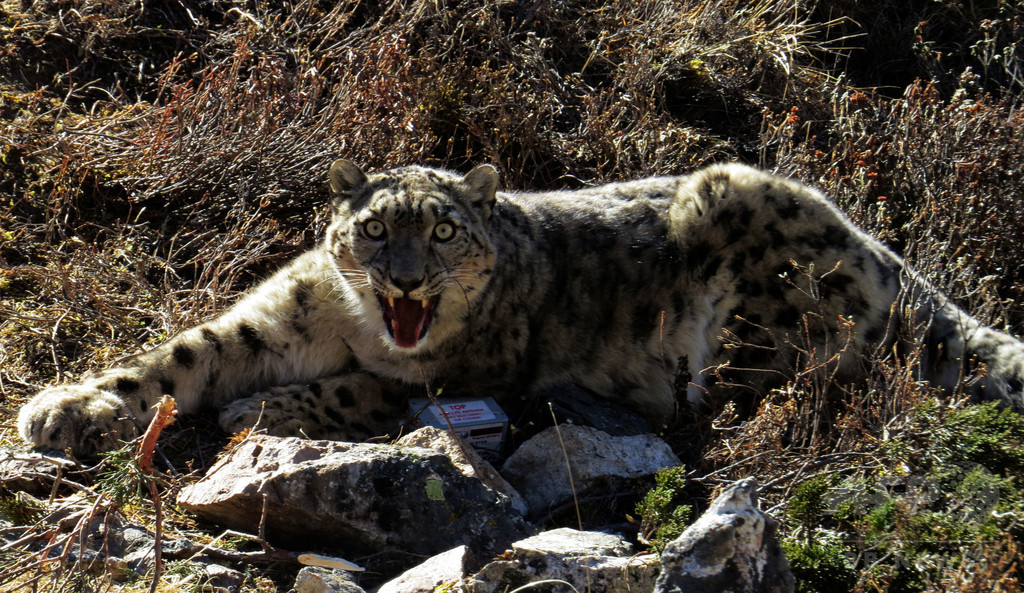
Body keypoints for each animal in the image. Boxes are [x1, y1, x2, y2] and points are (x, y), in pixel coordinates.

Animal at [14, 158, 1024, 454]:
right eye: (375, 229)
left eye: (444, 230)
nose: (407, 281)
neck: (355, 327)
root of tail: (890, 255)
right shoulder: (278, 316)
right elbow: (184, 353)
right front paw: (64, 407)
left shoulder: (471, 372)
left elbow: (367, 390)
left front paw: (261, 408)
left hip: (765, 295)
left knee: (758, 393)